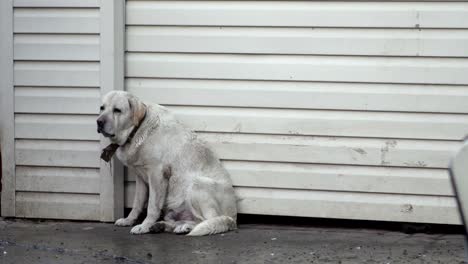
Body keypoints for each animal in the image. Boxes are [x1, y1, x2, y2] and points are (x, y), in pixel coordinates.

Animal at [98, 91, 238, 235]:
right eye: (102, 108)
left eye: (117, 110)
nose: (99, 122)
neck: (137, 130)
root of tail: (233, 219)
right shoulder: (140, 178)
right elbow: (137, 203)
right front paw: (129, 220)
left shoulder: (157, 175)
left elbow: (152, 207)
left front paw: (144, 226)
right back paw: (164, 226)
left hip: (198, 184)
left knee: (206, 220)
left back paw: (183, 227)